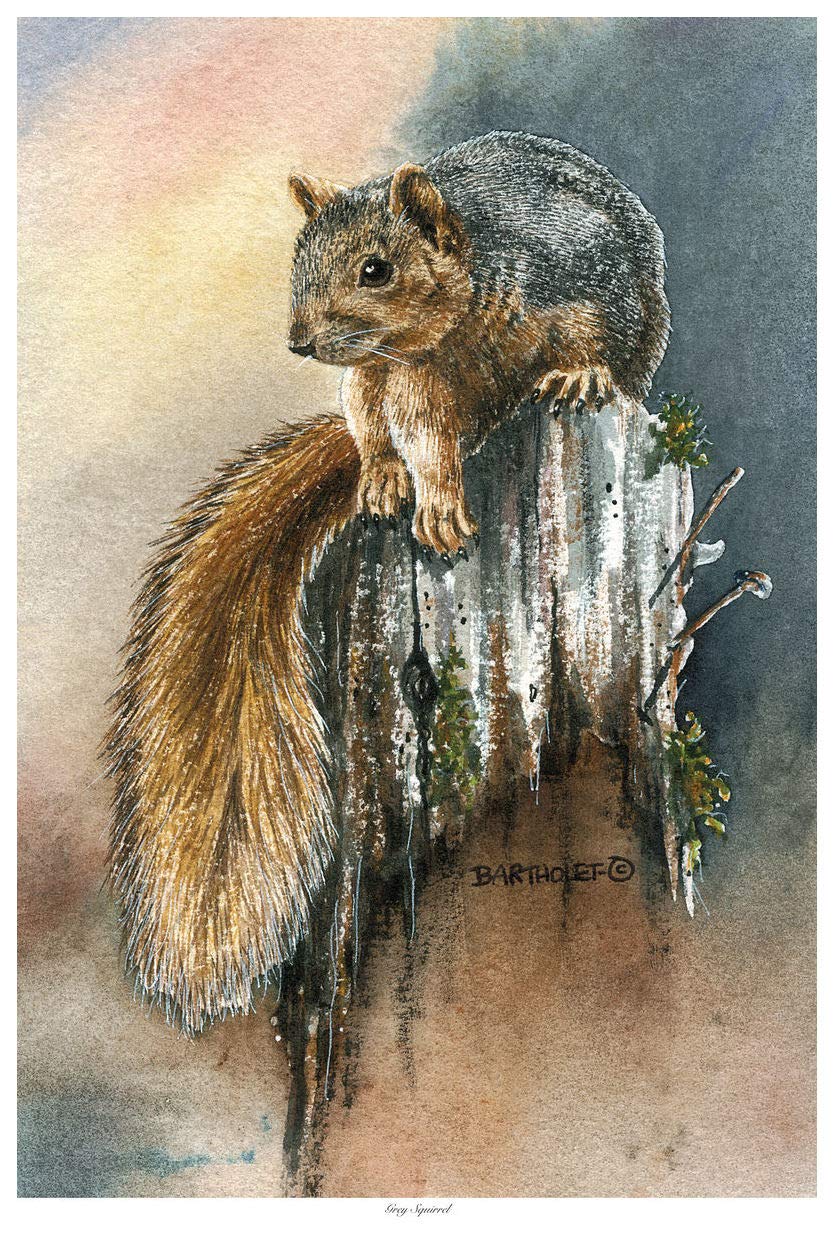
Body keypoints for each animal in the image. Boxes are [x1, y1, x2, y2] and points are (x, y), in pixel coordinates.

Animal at [107, 131, 669, 1034]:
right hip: (361, 385)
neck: (467, 310)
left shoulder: (587, 281)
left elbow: (603, 347)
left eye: (377, 269)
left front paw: (582, 378)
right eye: (297, 259)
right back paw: (378, 480)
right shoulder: (415, 381)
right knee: (374, 430)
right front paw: (432, 502)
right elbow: (426, 441)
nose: (300, 340)